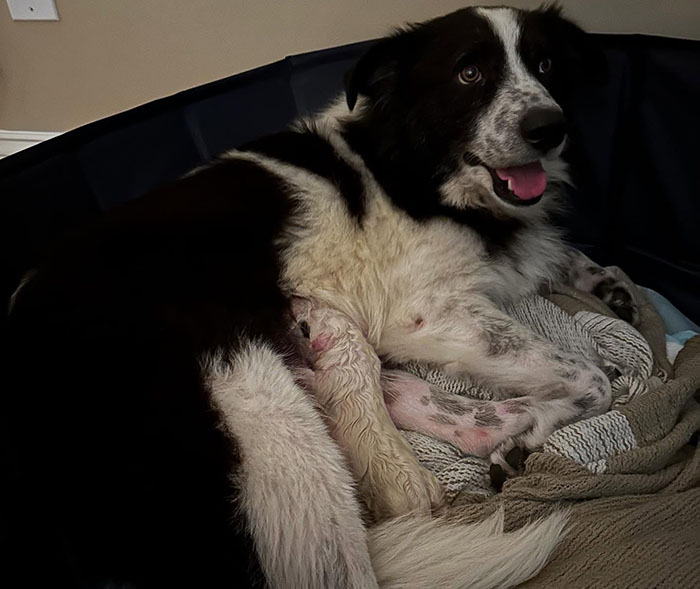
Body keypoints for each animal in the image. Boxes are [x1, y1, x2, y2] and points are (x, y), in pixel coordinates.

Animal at [5, 5, 608, 588]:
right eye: (470, 73)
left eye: (546, 65)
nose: (549, 128)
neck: (410, 169)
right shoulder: (428, 314)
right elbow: (594, 376)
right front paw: (544, 423)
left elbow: (571, 259)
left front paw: (608, 290)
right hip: (272, 424)